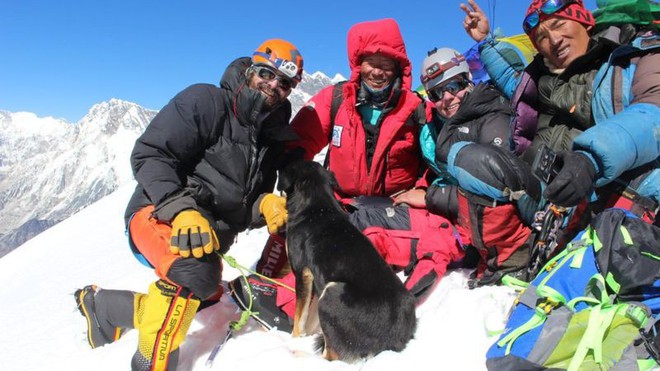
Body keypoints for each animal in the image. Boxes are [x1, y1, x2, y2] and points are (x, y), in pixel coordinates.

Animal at [278, 161, 418, 364]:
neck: (317, 206)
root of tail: (388, 343)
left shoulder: (302, 273)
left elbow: (299, 317)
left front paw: (295, 339)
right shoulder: (317, 279)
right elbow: (310, 317)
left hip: (332, 293)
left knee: (331, 358)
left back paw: (299, 353)